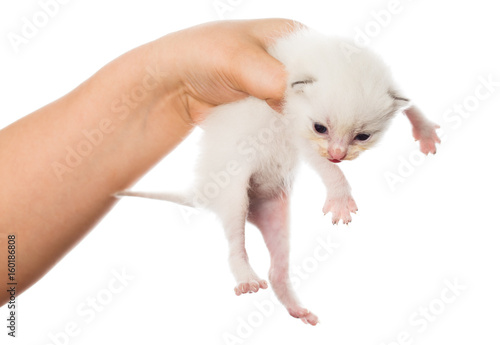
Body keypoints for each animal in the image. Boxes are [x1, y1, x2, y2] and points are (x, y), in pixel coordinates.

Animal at [116, 28, 438, 324]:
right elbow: (325, 167)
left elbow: (411, 104)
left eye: (363, 136)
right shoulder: (294, 125)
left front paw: (424, 131)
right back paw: (246, 278)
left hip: (274, 209)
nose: (337, 154)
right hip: (233, 192)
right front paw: (340, 197)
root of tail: (202, 191)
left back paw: (295, 308)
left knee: (276, 270)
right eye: (320, 128)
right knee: (234, 245)